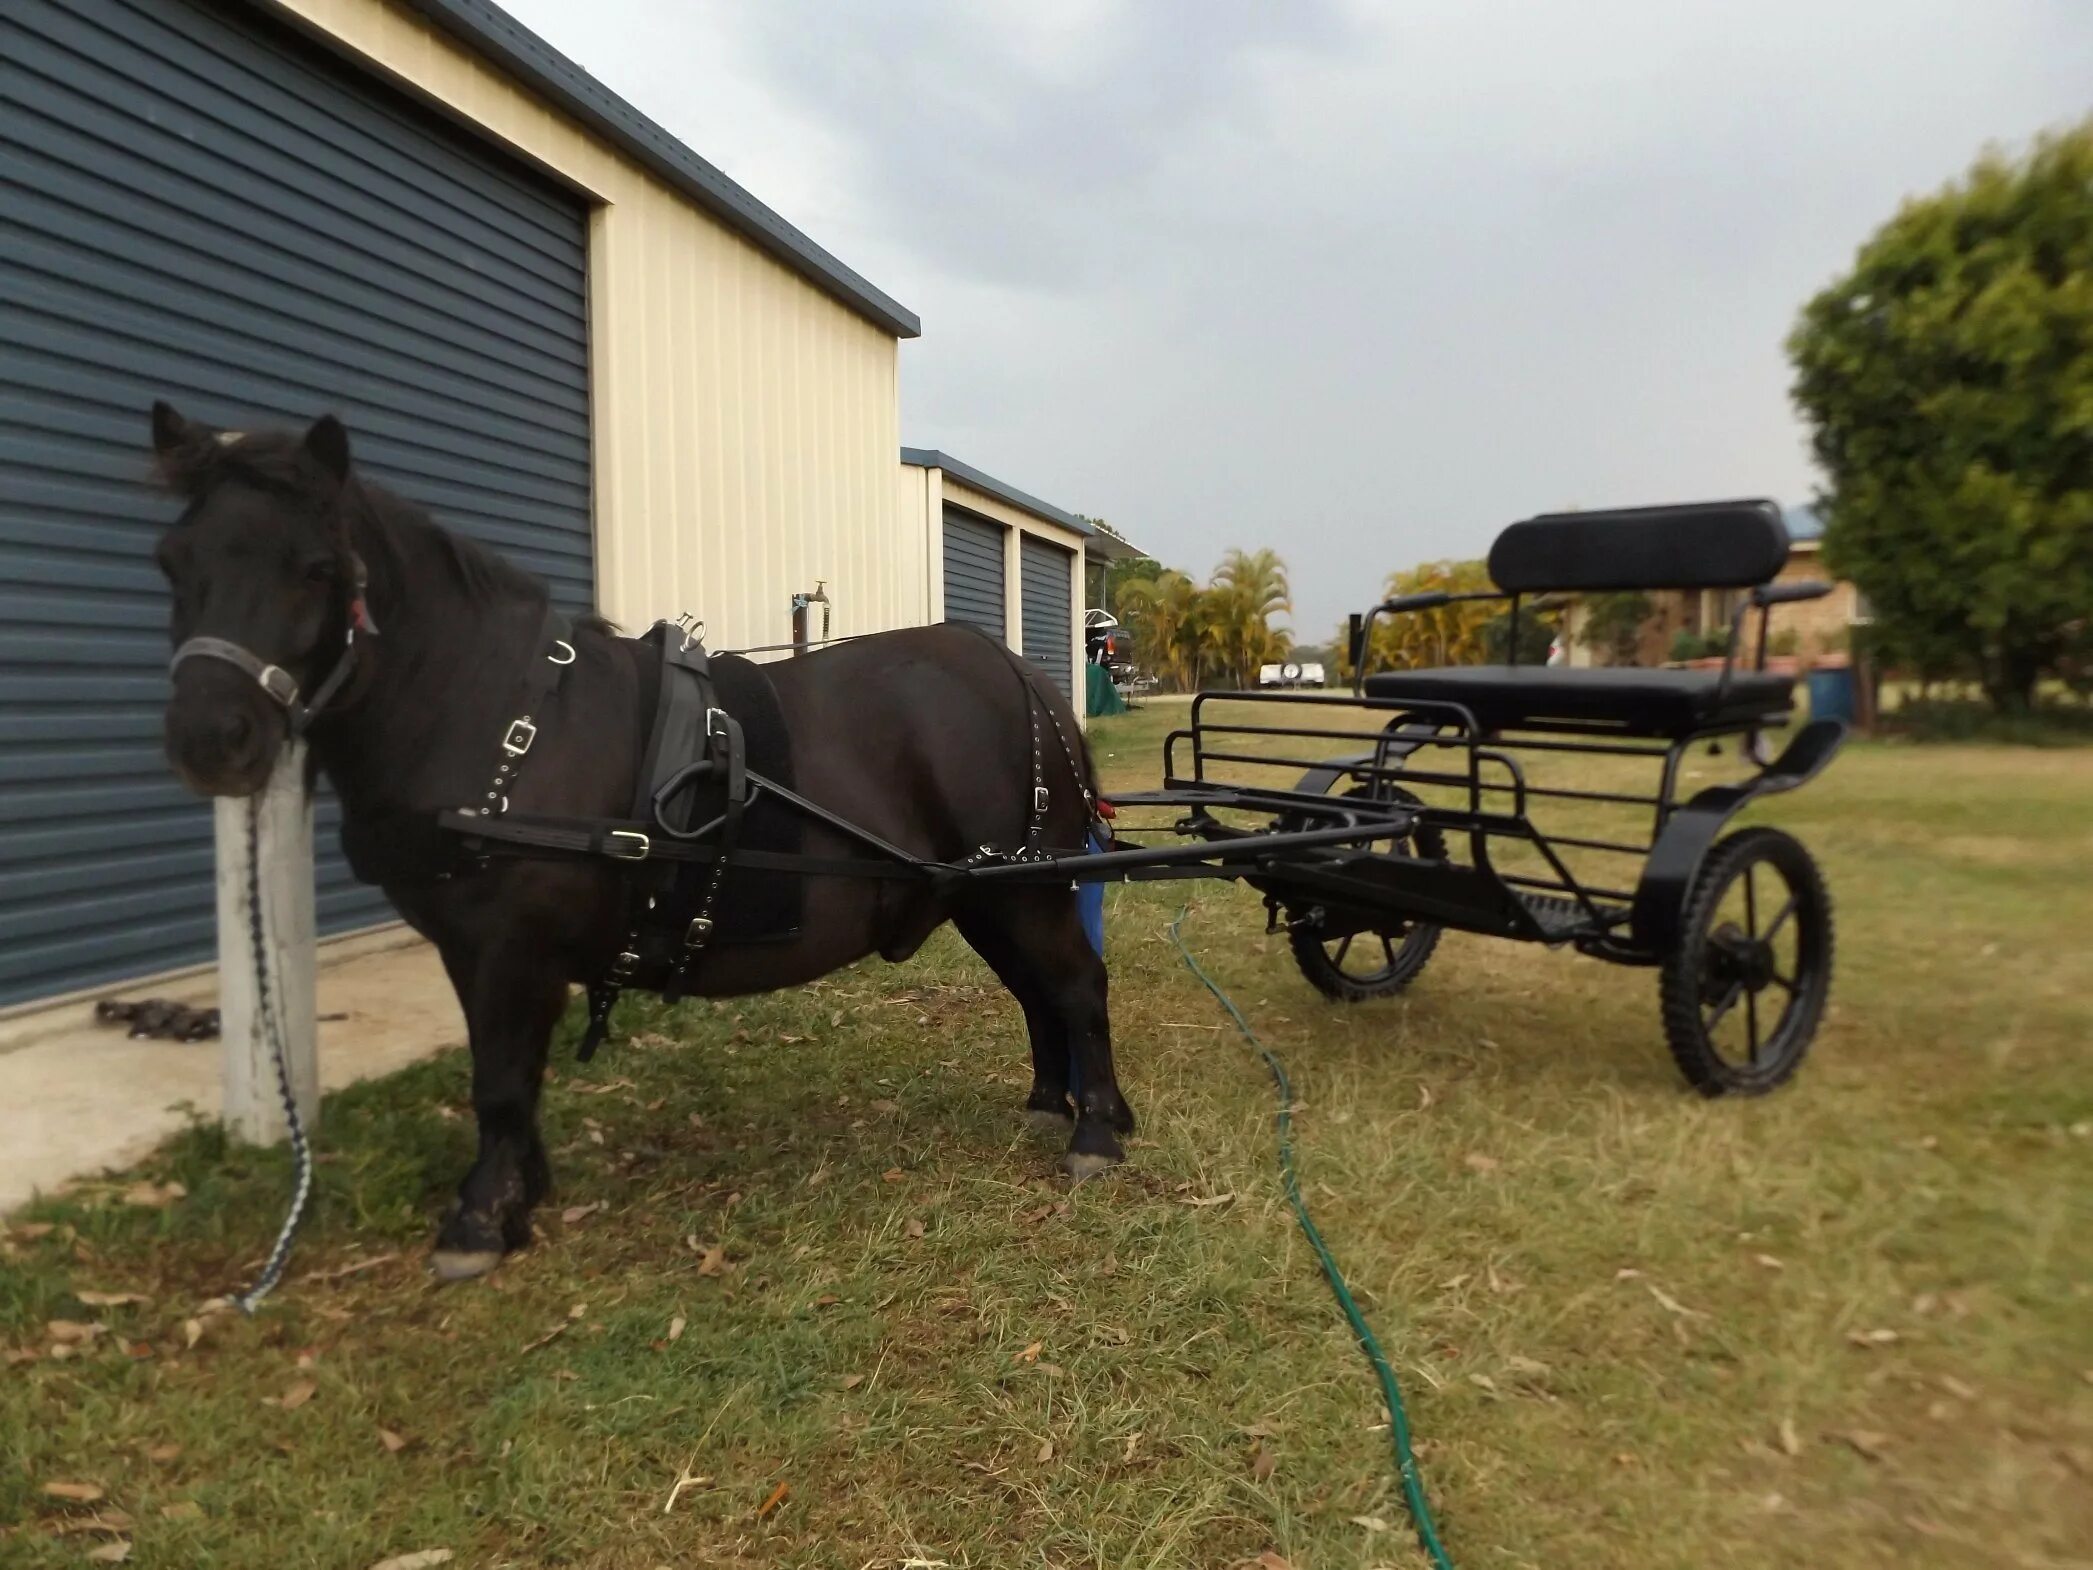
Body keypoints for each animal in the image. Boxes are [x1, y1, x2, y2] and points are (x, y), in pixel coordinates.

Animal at [151, 406, 1130, 1281]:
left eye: (315, 567)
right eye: (173, 560)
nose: (211, 739)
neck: (494, 715)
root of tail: (1018, 673)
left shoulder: (506, 948)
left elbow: (498, 1080)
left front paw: (478, 1219)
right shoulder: (477, 952)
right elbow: (510, 1078)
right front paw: (521, 1194)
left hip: (1021, 889)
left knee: (1075, 987)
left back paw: (1096, 1129)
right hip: (985, 892)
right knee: (1037, 994)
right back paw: (1051, 1105)